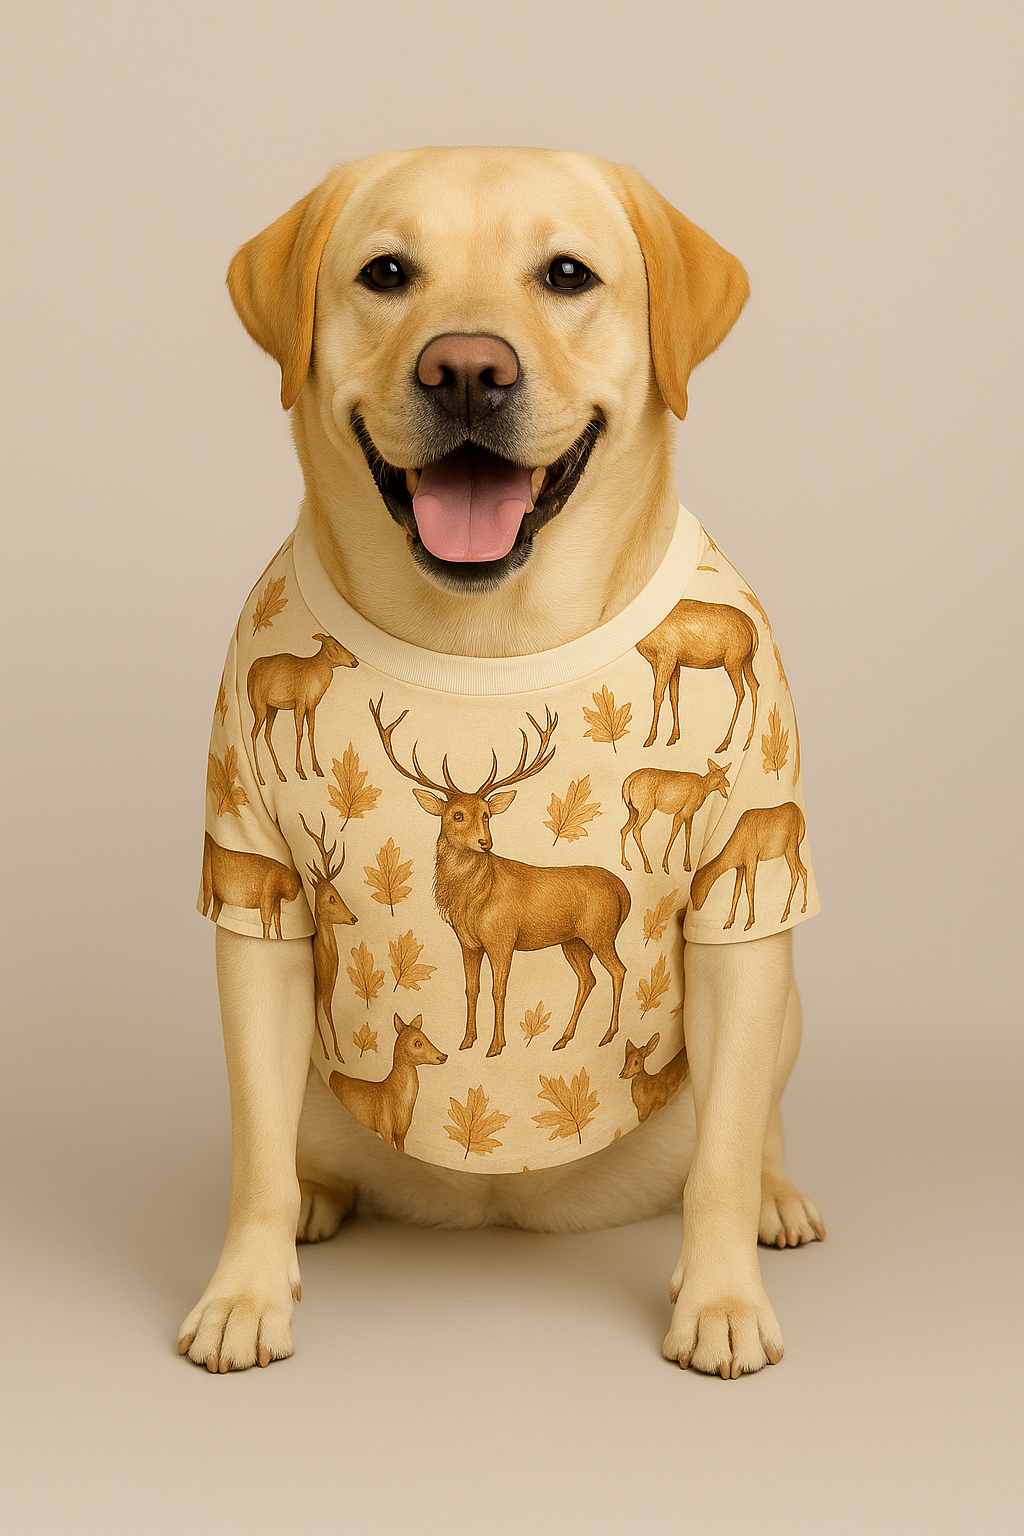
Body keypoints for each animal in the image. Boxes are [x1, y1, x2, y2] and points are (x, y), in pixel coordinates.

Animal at [247, 633, 357, 786]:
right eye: (335, 646)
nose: (355, 662)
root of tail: (250, 671)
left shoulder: (311, 707)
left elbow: (311, 733)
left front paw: (317, 769)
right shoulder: (300, 703)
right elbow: (300, 733)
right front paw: (301, 771)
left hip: (272, 708)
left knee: (266, 734)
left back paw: (281, 774)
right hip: (259, 707)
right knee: (253, 734)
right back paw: (261, 778)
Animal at [328, 1014, 448, 1153]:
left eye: (427, 1037)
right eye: (418, 1042)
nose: (443, 1056)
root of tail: (332, 1074)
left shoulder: (401, 1133)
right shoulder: (384, 1129)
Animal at [370, 697, 631, 1058]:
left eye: (487, 814)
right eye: (457, 814)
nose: (485, 842)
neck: (473, 901)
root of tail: (624, 893)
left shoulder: (502, 937)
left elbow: (499, 990)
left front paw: (496, 1045)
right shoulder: (468, 941)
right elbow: (471, 988)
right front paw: (467, 1040)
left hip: (600, 931)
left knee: (618, 970)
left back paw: (607, 1034)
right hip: (574, 940)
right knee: (588, 979)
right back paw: (563, 1039)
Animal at [636, 599, 759, 754]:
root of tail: (752, 627)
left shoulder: (666, 657)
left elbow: (657, 695)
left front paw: (650, 739)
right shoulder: (673, 663)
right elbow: (674, 696)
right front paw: (673, 737)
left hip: (733, 662)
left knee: (741, 692)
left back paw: (724, 743)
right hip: (747, 661)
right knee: (754, 685)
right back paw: (747, 742)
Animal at [690, 801, 808, 932]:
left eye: (694, 888)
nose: (695, 907)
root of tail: (800, 814)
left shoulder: (752, 860)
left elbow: (750, 888)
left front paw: (749, 923)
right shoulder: (740, 867)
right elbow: (736, 892)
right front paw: (728, 922)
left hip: (790, 848)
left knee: (795, 875)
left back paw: (784, 915)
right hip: (794, 850)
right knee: (804, 871)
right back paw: (803, 908)